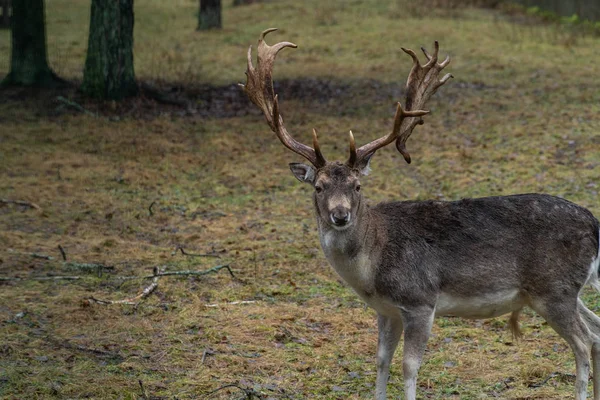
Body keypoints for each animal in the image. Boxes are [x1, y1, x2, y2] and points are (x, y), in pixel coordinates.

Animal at [241, 28, 600, 400]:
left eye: (357, 186)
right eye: (318, 187)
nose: (340, 215)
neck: (372, 269)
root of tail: (594, 223)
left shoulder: (420, 300)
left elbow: (408, 366)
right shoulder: (386, 310)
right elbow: (381, 361)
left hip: (553, 288)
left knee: (584, 342)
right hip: (564, 290)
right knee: (597, 333)